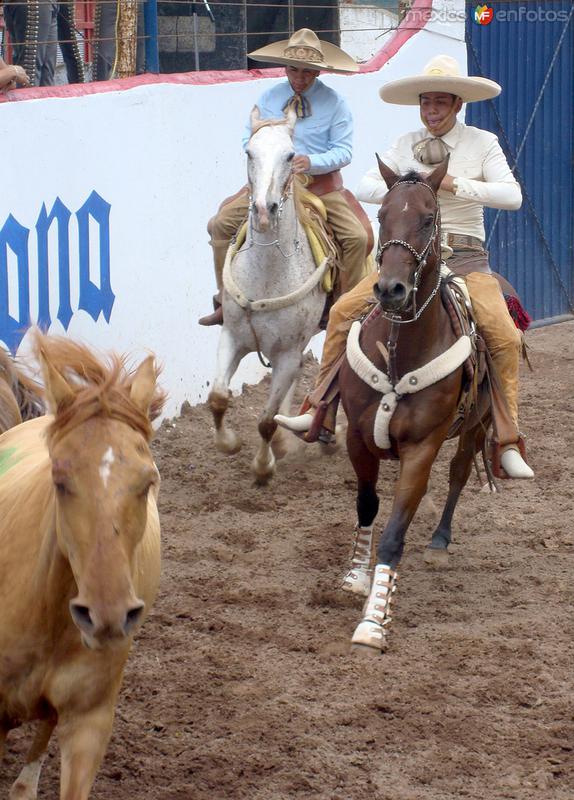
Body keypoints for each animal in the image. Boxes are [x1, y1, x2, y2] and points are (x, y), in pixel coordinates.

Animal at [210, 104, 328, 482]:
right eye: (249, 152)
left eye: (291, 156)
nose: (264, 210)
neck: (267, 275)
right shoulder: (232, 336)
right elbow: (218, 397)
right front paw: (229, 444)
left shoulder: (288, 353)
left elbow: (265, 420)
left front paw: (263, 467)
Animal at [340, 158, 492, 656]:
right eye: (382, 214)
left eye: (428, 219)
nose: (390, 289)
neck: (400, 350)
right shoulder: (357, 438)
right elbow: (367, 504)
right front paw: (356, 575)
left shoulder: (421, 450)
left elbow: (394, 536)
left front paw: (374, 620)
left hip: (476, 426)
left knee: (460, 473)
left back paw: (440, 542)